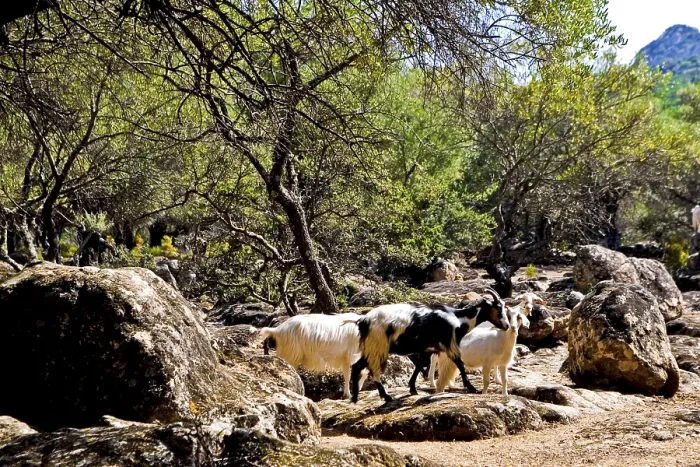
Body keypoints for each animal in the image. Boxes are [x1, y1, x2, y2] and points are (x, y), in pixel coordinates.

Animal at [350, 289, 510, 402]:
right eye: (498, 307)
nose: (507, 326)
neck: (458, 319)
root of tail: (363, 321)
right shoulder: (450, 344)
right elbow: (460, 364)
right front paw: (472, 388)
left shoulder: (428, 348)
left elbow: (419, 365)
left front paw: (412, 388)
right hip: (377, 347)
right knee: (372, 371)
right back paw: (386, 396)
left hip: (370, 348)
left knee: (357, 366)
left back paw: (355, 397)